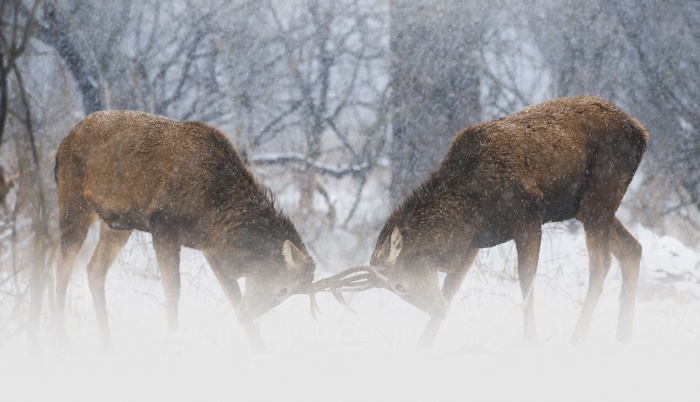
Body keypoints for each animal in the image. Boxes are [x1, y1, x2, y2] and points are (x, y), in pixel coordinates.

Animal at [54, 110, 315, 352]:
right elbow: (173, 291)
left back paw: (106, 345)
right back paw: (63, 341)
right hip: (73, 201)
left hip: (118, 224)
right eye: (282, 290)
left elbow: (233, 295)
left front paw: (260, 348)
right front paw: (173, 338)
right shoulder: (163, 224)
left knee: (94, 269)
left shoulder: (209, 247)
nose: (245, 316)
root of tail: (62, 144)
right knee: (63, 268)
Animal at [322, 96, 648, 348]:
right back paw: (624, 336)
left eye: (400, 286)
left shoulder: (527, 215)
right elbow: (451, 289)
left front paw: (531, 340)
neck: (470, 209)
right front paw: (423, 345)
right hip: (584, 207)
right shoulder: (473, 244)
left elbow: (525, 279)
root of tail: (641, 133)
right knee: (632, 248)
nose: (439, 311)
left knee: (602, 263)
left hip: (600, 193)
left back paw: (577, 337)